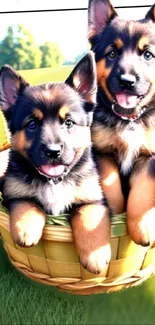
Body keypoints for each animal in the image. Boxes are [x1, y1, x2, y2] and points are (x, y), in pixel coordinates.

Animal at [0, 52, 111, 274]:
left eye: (68, 122)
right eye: (32, 124)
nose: (53, 152)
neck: (54, 181)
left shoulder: (94, 199)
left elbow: (88, 217)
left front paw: (95, 255)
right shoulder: (13, 193)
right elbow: (29, 203)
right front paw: (27, 228)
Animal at [88, 0, 155, 246]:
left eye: (148, 55)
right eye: (112, 53)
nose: (127, 81)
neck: (128, 120)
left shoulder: (148, 156)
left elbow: (142, 193)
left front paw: (142, 229)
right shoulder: (102, 152)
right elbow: (112, 188)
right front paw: (114, 216)